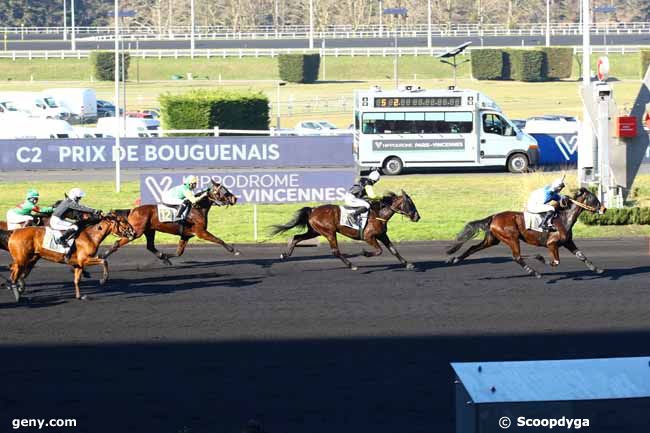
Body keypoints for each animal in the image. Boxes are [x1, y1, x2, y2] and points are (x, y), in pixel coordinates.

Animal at [1, 210, 134, 300]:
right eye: (123, 221)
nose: (133, 231)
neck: (90, 236)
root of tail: (13, 232)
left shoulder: (78, 264)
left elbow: (76, 280)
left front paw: (79, 296)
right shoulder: (84, 259)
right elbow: (103, 261)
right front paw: (103, 280)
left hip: (30, 258)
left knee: (16, 272)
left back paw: (16, 287)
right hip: (22, 259)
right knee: (14, 273)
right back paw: (15, 290)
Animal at [102, 180, 239, 264]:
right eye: (222, 191)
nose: (235, 198)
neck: (197, 208)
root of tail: (132, 210)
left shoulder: (186, 235)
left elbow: (179, 252)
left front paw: (166, 257)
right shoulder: (201, 232)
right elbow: (218, 240)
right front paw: (233, 250)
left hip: (149, 231)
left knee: (150, 246)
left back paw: (163, 257)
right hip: (136, 232)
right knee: (117, 243)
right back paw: (103, 256)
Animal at [270, 190, 418, 268]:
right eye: (410, 203)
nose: (417, 217)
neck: (378, 214)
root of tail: (312, 210)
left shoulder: (382, 235)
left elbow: (393, 250)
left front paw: (407, 264)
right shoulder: (368, 237)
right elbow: (379, 250)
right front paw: (365, 253)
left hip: (315, 231)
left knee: (296, 238)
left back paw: (285, 254)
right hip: (329, 232)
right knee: (335, 251)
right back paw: (351, 265)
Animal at [442, 186, 604, 276]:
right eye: (593, 198)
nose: (604, 209)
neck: (564, 218)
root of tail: (493, 217)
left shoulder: (567, 242)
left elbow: (581, 255)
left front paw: (597, 269)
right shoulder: (552, 244)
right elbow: (555, 262)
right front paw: (543, 259)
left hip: (492, 239)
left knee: (473, 248)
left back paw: (455, 259)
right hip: (511, 238)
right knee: (517, 256)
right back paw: (535, 270)